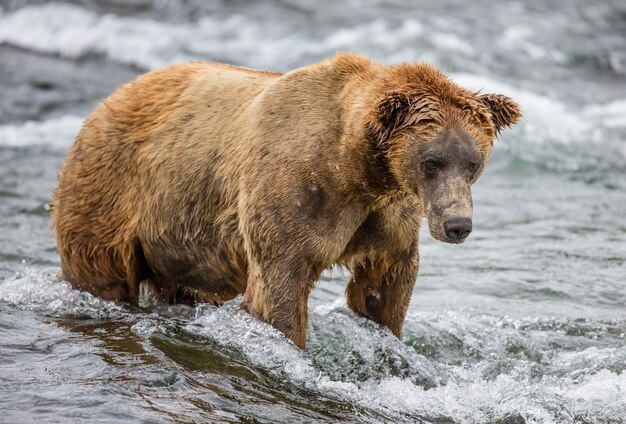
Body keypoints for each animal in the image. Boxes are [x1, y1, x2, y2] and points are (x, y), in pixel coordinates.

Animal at [52, 53, 516, 350]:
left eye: (472, 162)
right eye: (432, 161)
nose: (458, 225)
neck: (357, 170)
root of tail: (109, 99)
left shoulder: (388, 216)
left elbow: (384, 282)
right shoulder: (296, 195)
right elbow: (280, 286)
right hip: (110, 193)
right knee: (102, 272)